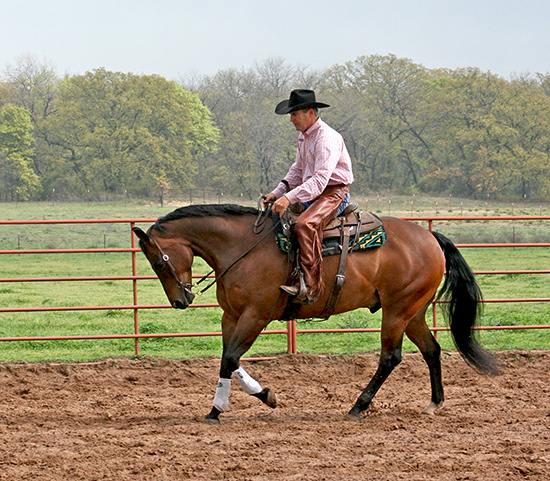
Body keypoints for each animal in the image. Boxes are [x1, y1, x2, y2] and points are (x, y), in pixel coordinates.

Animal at [134, 204, 500, 422]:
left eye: (157, 262)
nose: (180, 300)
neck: (241, 248)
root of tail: (430, 236)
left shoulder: (255, 316)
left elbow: (231, 358)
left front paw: (261, 397)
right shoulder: (231, 317)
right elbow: (228, 361)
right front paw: (219, 408)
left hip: (397, 312)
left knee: (390, 357)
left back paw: (358, 406)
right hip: (414, 312)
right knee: (431, 350)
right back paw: (434, 402)